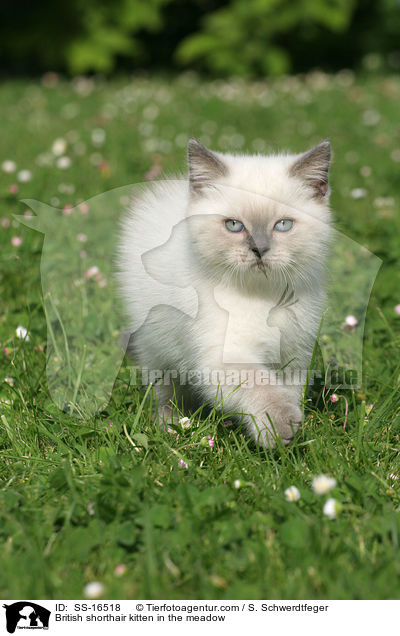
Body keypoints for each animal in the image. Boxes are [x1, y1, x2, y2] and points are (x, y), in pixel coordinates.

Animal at [116, 139, 332, 448]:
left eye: (283, 225)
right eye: (234, 225)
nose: (259, 250)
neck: (263, 297)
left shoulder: (294, 353)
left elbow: (288, 390)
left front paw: (291, 440)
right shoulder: (223, 353)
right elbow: (258, 385)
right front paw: (281, 428)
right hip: (157, 343)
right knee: (166, 390)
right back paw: (170, 426)